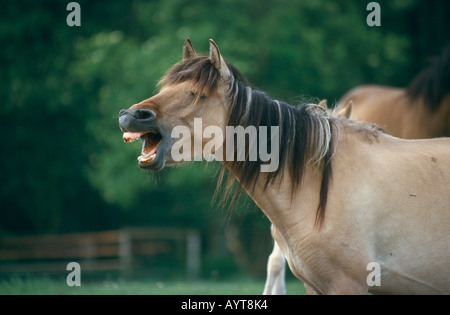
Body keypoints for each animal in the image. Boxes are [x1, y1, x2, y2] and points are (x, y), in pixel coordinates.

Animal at [118, 39, 450, 296]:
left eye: (196, 95)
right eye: (165, 88)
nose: (130, 115)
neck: (322, 187)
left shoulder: (347, 284)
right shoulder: (315, 285)